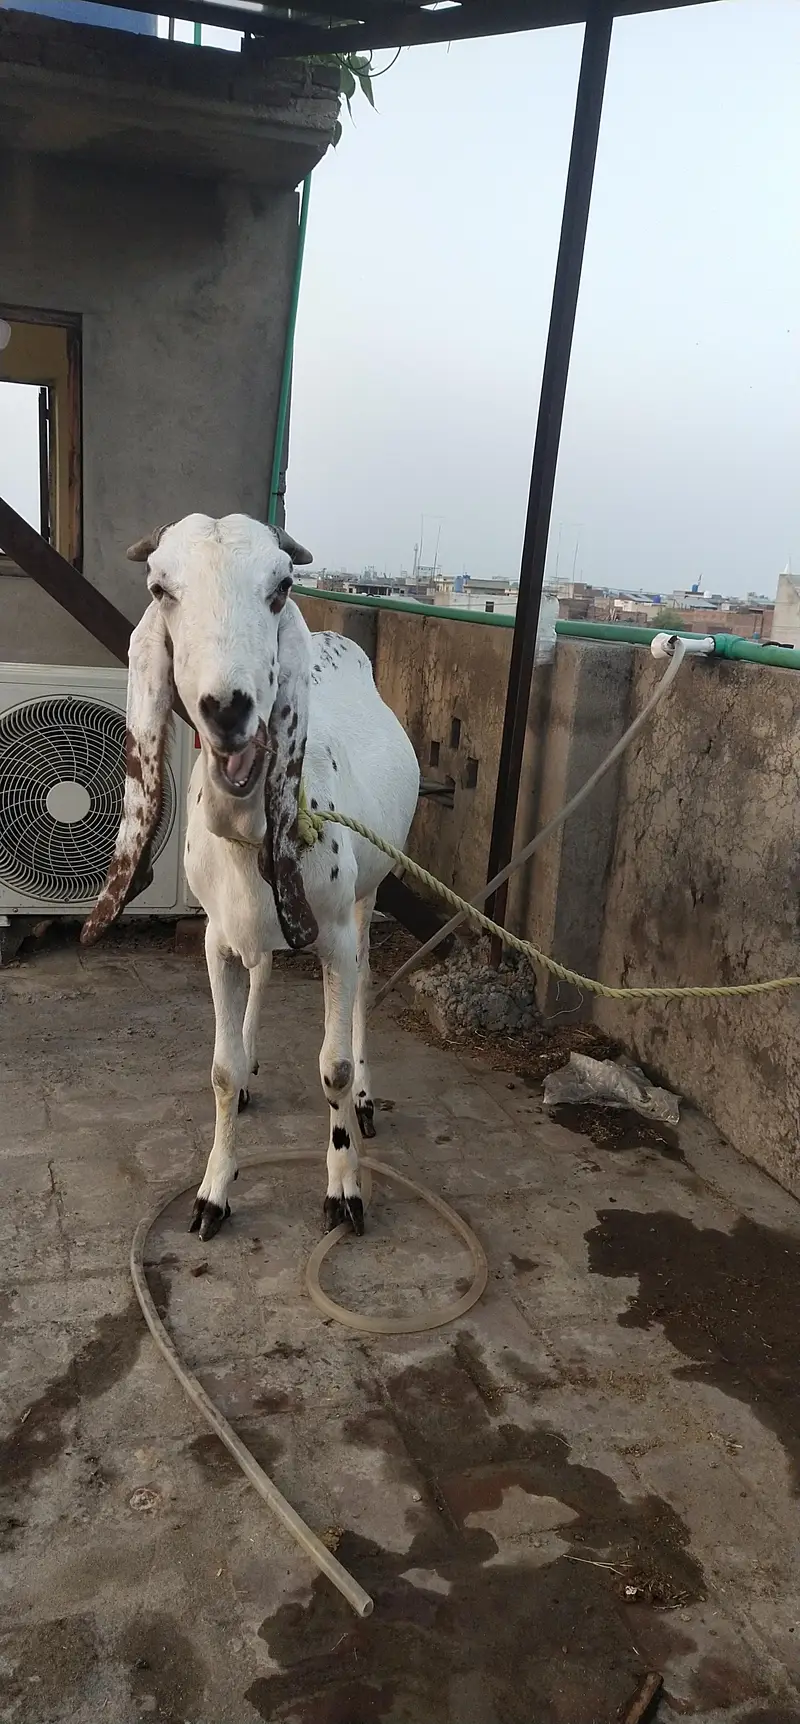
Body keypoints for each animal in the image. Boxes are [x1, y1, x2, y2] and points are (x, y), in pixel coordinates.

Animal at [82, 513, 419, 1241]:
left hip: (368, 897)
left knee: (364, 987)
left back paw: (367, 1098)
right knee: (262, 967)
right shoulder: (217, 938)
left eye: (280, 586)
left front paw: (344, 1186)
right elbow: (218, 1067)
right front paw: (213, 1190)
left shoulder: (333, 937)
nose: (227, 708)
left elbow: (332, 1067)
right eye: (160, 587)